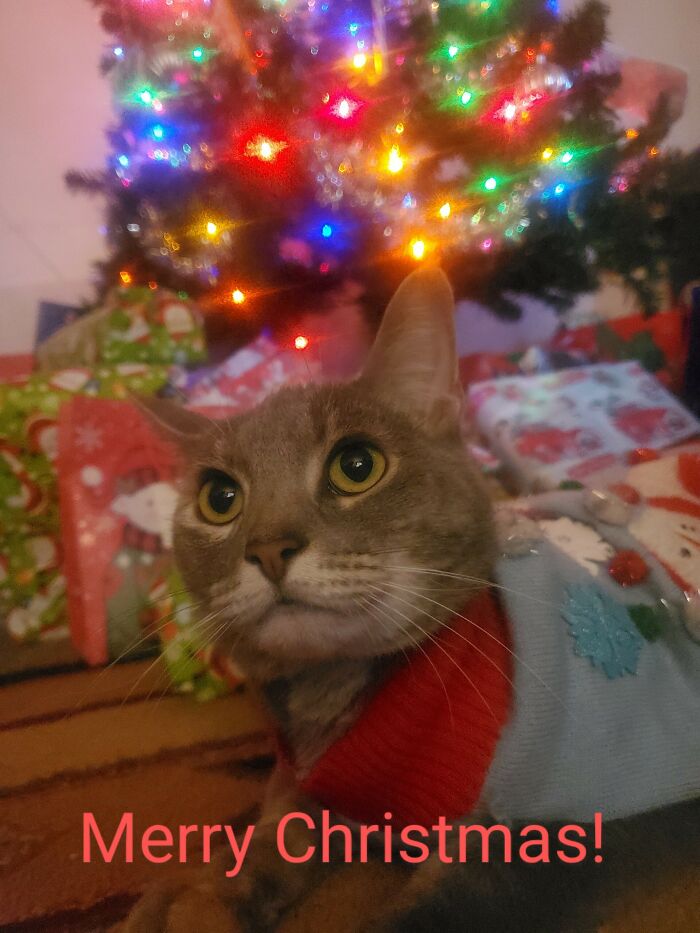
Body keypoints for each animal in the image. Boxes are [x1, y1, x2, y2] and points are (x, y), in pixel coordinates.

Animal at [123, 266, 696, 928]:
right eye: (219, 499)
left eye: (356, 465)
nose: (268, 549)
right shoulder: (314, 788)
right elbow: (271, 838)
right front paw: (188, 898)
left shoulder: (556, 834)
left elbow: (424, 913)